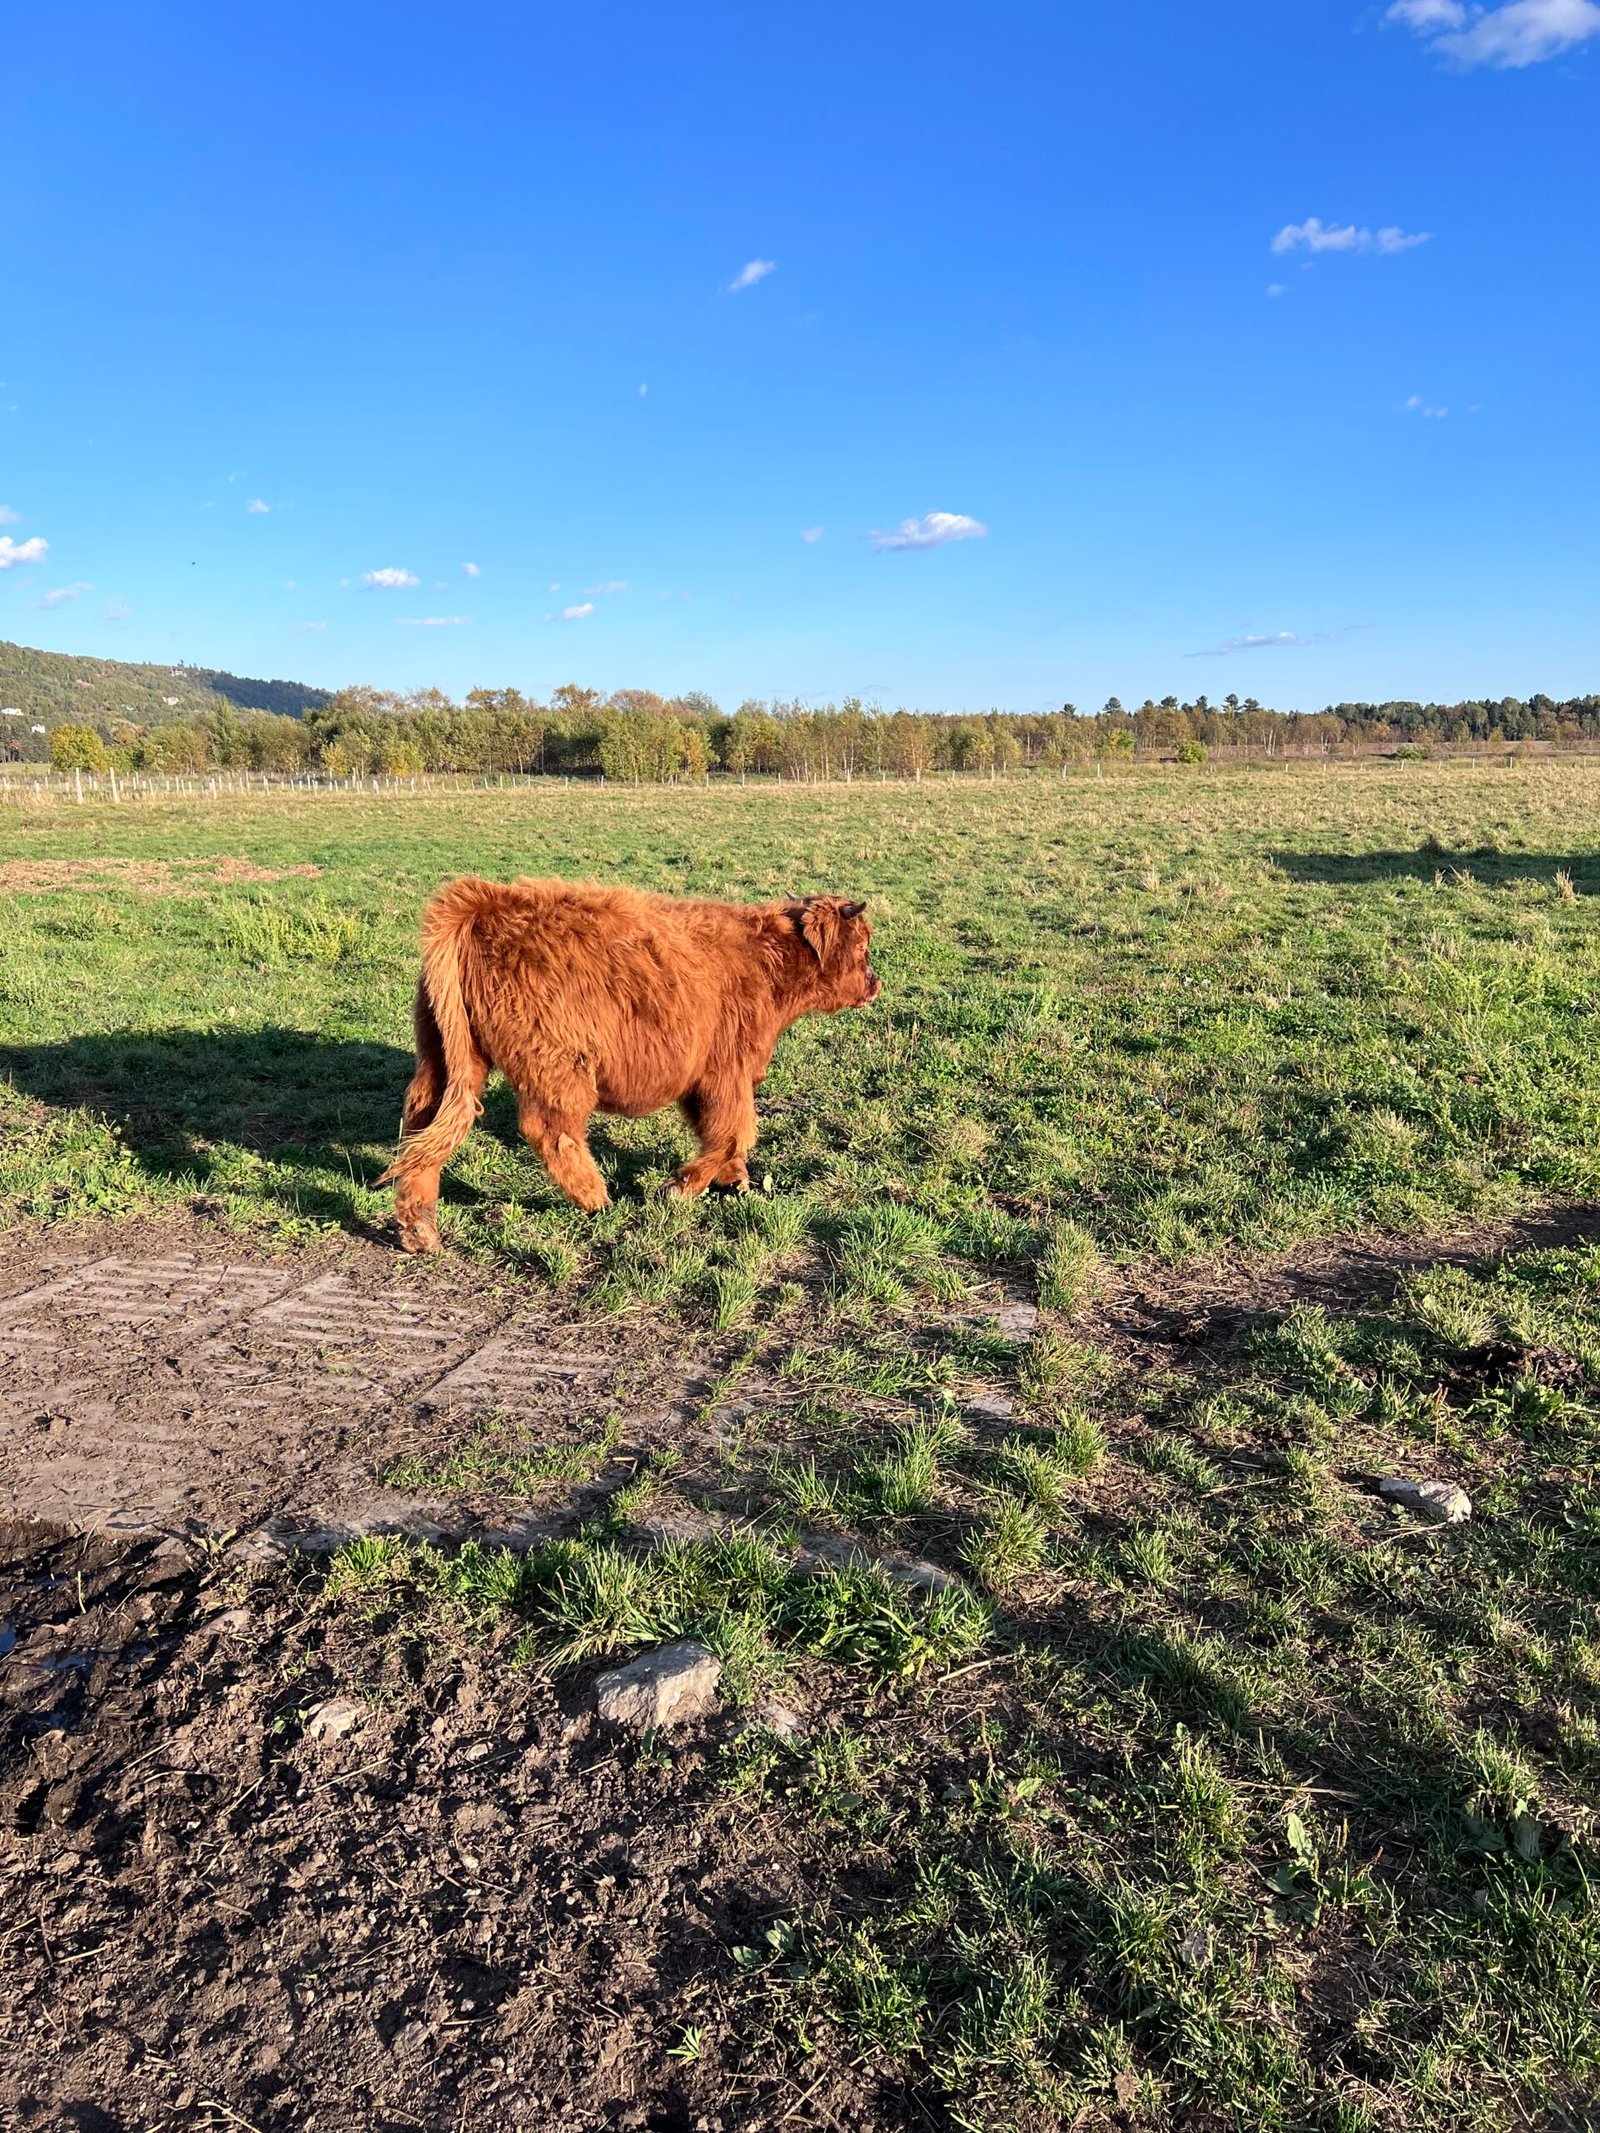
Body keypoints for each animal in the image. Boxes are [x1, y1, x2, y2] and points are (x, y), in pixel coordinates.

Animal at [379, 876, 880, 1250]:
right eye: (862, 948)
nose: (875, 983)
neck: (767, 963)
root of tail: (485, 902)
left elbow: (723, 1133)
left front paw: (732, 1180)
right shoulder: (725, 1069)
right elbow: (733, 1131)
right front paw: (680, 1187)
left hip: (447, 1054)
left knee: (423, 1120)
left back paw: (418, 1228)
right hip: (558, 1063)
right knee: (550, 1130)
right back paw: (595, 1198)